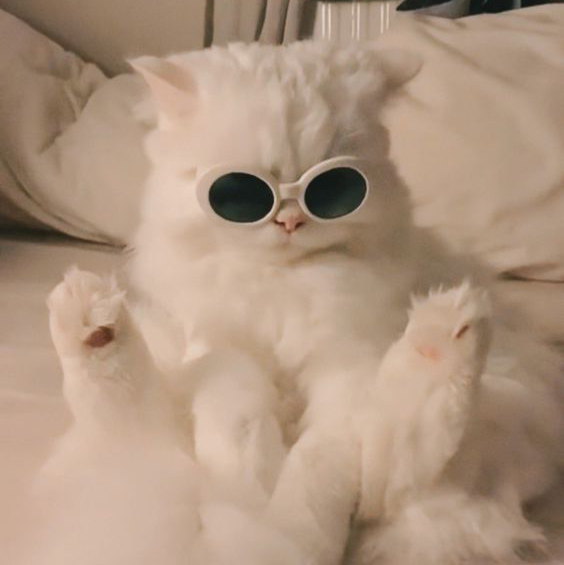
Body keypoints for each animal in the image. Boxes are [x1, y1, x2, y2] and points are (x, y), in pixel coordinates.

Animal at [35, 41, 564, 565]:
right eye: (239, 192)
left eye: (335, 188)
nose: (289, 221)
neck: (282, 284)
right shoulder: (220, 353)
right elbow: (240, 425)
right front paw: (254, 489)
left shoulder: (345, 380)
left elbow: (315, 476)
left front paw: (291, 530)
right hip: (143, 409)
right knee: (123, 412)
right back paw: (89, 319)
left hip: (479, 412)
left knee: (395, 473)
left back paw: (442, 333)